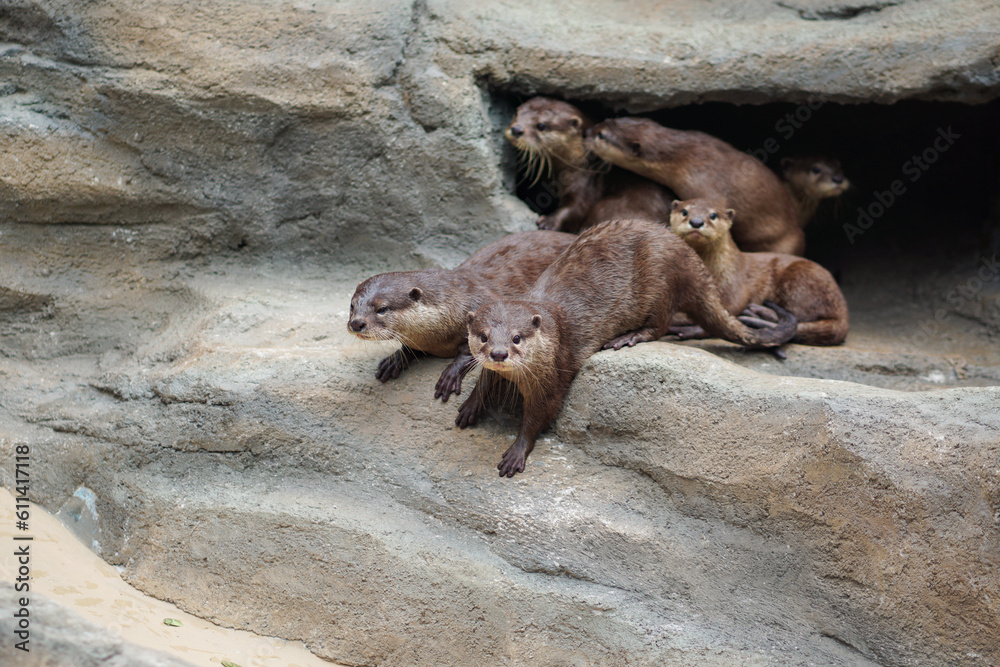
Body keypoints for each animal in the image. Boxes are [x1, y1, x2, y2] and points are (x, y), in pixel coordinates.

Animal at [348, 230, 575, 401]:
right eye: (352, 305)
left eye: (382, 309)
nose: (356, 323)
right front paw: (396, 359)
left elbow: (470, 349)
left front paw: (450, 374)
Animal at [456, 218, 798, 478]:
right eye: (484, 336)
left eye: (517, 337)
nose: (499, 353)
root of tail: (686, 253)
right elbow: (484, 379)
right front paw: (471, 405)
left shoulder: (554, 376)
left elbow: (538, 416)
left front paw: (516, 452)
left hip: (660, 281)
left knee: (661, 323)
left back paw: (629, 337)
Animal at [506, 97, 673, 232]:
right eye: (516, 113)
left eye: (541, 125)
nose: (516, 129)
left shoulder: (585, 180)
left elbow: (577, 206)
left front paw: (549, 221)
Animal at [668, 199, 849, 346]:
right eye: (684, 212)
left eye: (713, 215)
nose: (696, 222)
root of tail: (843, 308)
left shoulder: (734, 284)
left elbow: (727, 311)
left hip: (800, 279)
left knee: (798, 315)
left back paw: (758, 313)